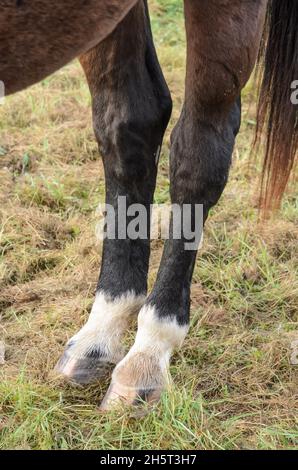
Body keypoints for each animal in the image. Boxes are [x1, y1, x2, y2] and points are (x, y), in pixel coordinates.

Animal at [1, 0, 296, 412]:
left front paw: (150, 351)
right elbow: (124, 126)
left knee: (199, 148)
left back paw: (148, 353)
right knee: (131, 123)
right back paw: (101, 331)